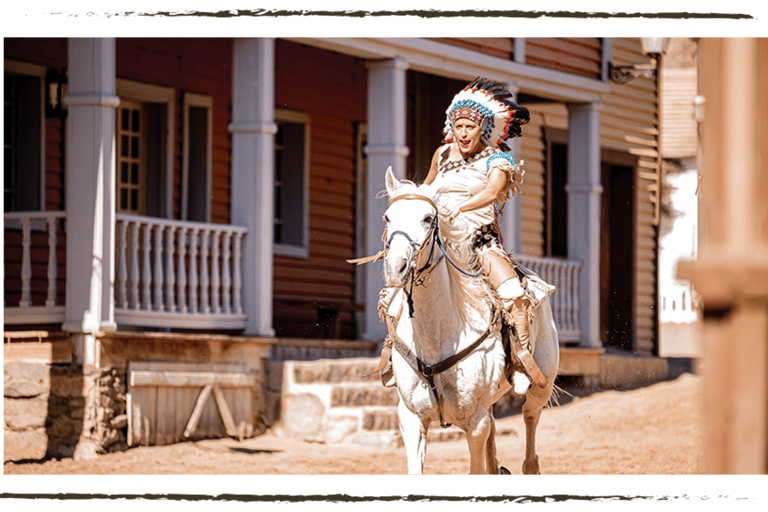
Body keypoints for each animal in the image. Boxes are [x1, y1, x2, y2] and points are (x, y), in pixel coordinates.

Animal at [378, 169, 560, 476]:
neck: (436, 337)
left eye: (428, 218)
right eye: (387, 217)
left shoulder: (475, 424)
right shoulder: (411, 418)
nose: (395, 268)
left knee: (530, 417)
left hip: (541, 385)